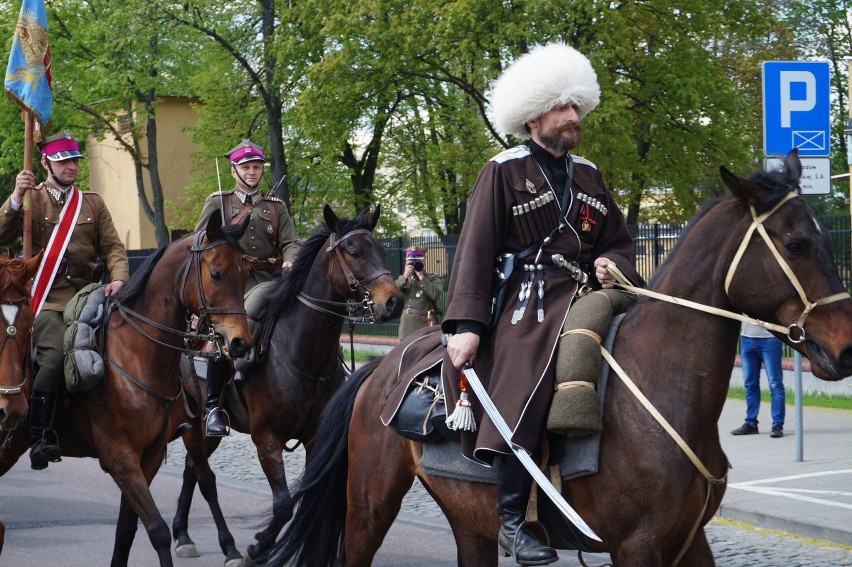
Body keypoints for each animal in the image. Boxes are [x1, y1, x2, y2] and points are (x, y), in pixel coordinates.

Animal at [0, 214, 250, 567]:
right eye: (216, 274)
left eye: (245, 272)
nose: (241, 343)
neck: (137, 355)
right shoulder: (120, 458)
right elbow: (156, 529)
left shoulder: (150, 457)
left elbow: (126, 530)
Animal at [172, 203, 406, 564]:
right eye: (353, 252)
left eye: (381, 250)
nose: (394, 302)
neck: (301, 354)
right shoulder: (267, 439)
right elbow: (283, 505)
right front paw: (258, 546)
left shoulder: (315, 438)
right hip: (196, 419)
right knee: (198, 469)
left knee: (190, 469)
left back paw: (183, 534)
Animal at [262, 152, 852, 567]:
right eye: (796, 244)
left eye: (826, 236)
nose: (845, 347)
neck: (662, 386)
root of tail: (378, 371)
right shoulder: (638, 546)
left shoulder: (688, 542)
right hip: (369, 505)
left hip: (468, 521)